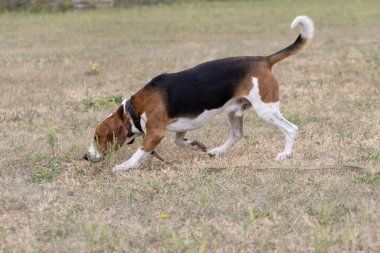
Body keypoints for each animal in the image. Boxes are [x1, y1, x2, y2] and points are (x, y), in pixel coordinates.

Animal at [84, 14, 314, 171]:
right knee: (237, 134)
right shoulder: (181, 125)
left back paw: (285, 154)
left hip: (266, 110)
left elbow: (140, 152)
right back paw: (217, 151)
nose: (85, 157)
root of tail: (264, 60)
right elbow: (179, 141)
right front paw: (195, 144)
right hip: (235, 110)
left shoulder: (155, 133)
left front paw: (123, 166)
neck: (133, 110)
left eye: (97, 137)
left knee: (291, 129)